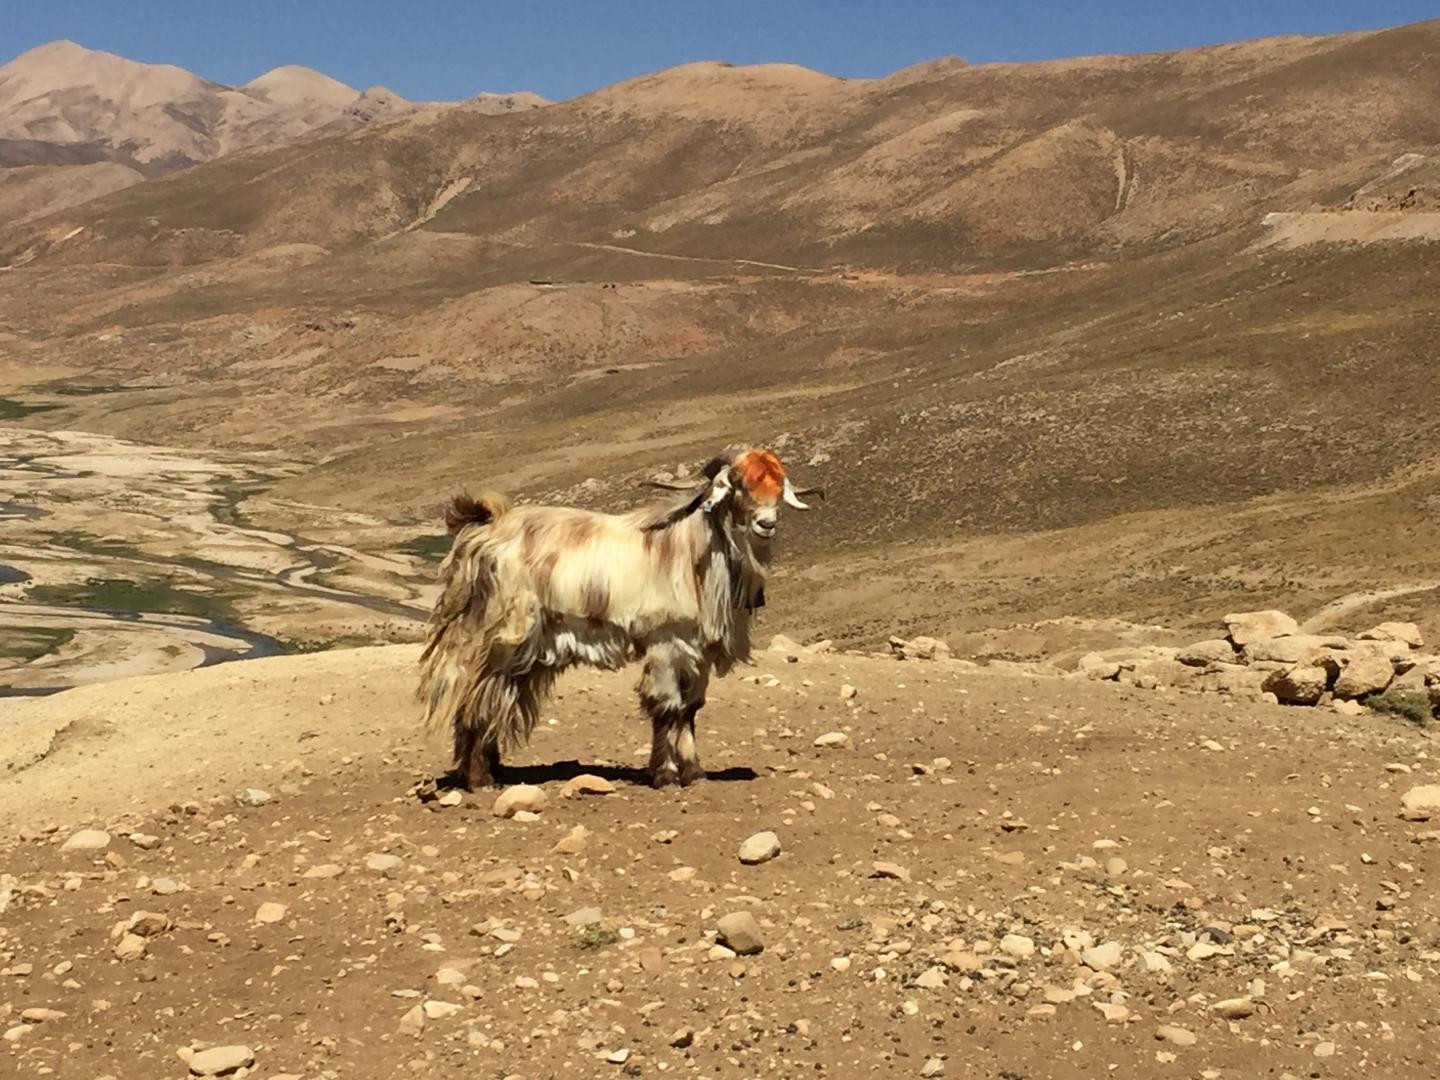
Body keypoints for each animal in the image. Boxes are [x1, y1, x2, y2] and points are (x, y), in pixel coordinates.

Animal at [417, 447, 821, 788]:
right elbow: (667, 707)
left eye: (777, 484)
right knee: (473, 694)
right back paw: (480, 779)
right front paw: (666, 776)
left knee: (491, 696)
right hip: (503, 632)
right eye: (738, 483)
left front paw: (695, 773)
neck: (690, 549)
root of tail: (485, 529)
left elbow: (691, 709)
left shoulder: (698, 650)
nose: (766, 523)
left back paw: (489, 769)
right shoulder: (665, 641)